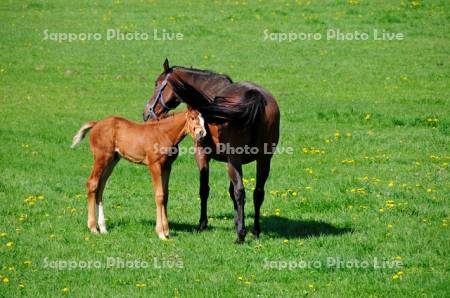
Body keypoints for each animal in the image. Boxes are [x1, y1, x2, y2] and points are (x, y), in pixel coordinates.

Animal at [71, 109, 207, 240]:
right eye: (192, 118)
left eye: (203, 120)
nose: (202, 133)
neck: (164, 134)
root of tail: (96, 124)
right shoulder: (154, 165)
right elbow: (159, 196)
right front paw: (161, 233)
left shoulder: (167, 167)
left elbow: (165, 196)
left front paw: (167, 231)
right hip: (101, 157)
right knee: (92, 183)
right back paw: (93, 228)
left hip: (112, 160)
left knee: (100, 187)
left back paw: (103, 228)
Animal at [144, 60, 280, 242]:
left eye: (157, 84)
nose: (147, 113)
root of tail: (255, 96)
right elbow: (231, 192)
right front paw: (237, 221)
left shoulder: (202, 154)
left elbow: (204, 189)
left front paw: (202, 224)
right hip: (264, 160)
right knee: (258, 193)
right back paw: (255, 231)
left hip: (235, 159)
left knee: (241, 192)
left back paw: (240, 235)